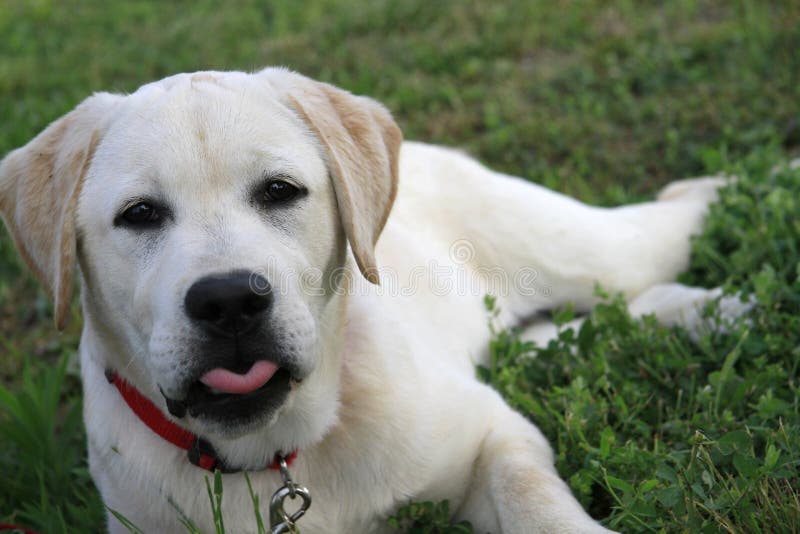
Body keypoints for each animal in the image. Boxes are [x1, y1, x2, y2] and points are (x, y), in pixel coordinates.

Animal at [0, 69, 732, 532]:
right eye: (141, 214)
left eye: (279, 191)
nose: (230, 301)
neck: (275, 458)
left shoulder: (492, 435)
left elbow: (536, 502)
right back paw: (705, 313)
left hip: (577, 248)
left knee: (657, 232)